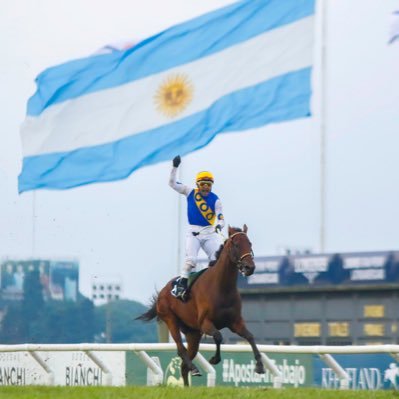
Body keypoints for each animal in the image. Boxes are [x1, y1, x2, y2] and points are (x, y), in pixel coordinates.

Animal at [138, 227, 266, 386]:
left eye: (249, 243)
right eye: (236, 244)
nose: (250, 267)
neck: (222, 287)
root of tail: (162, 292)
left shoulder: (235, 322)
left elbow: (250, 336)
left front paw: (260, 366)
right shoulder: (205, 323)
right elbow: (218, 336)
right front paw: (215, 359)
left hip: (193, 333)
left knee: (183, 365)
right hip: (170, 319)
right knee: (181, 348)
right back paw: (193, 367)